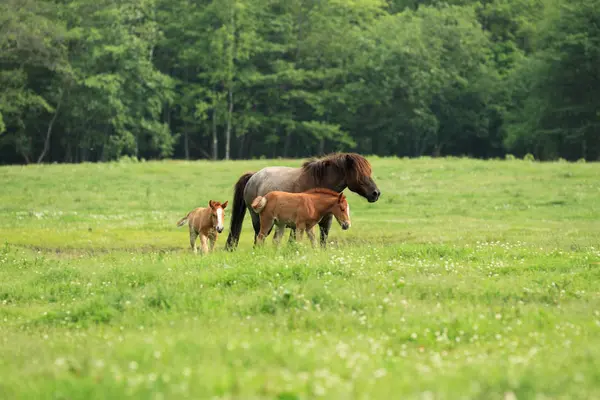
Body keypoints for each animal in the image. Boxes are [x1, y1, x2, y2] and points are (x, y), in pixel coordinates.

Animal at [225, 153, 380, 250]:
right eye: (360, 174)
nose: (376, 193)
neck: (319, 181)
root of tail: (253, 176)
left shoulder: (326, 221)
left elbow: (323, 241)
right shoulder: (298, 223)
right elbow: (293, 241)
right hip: (259, 219)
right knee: (258, 237)